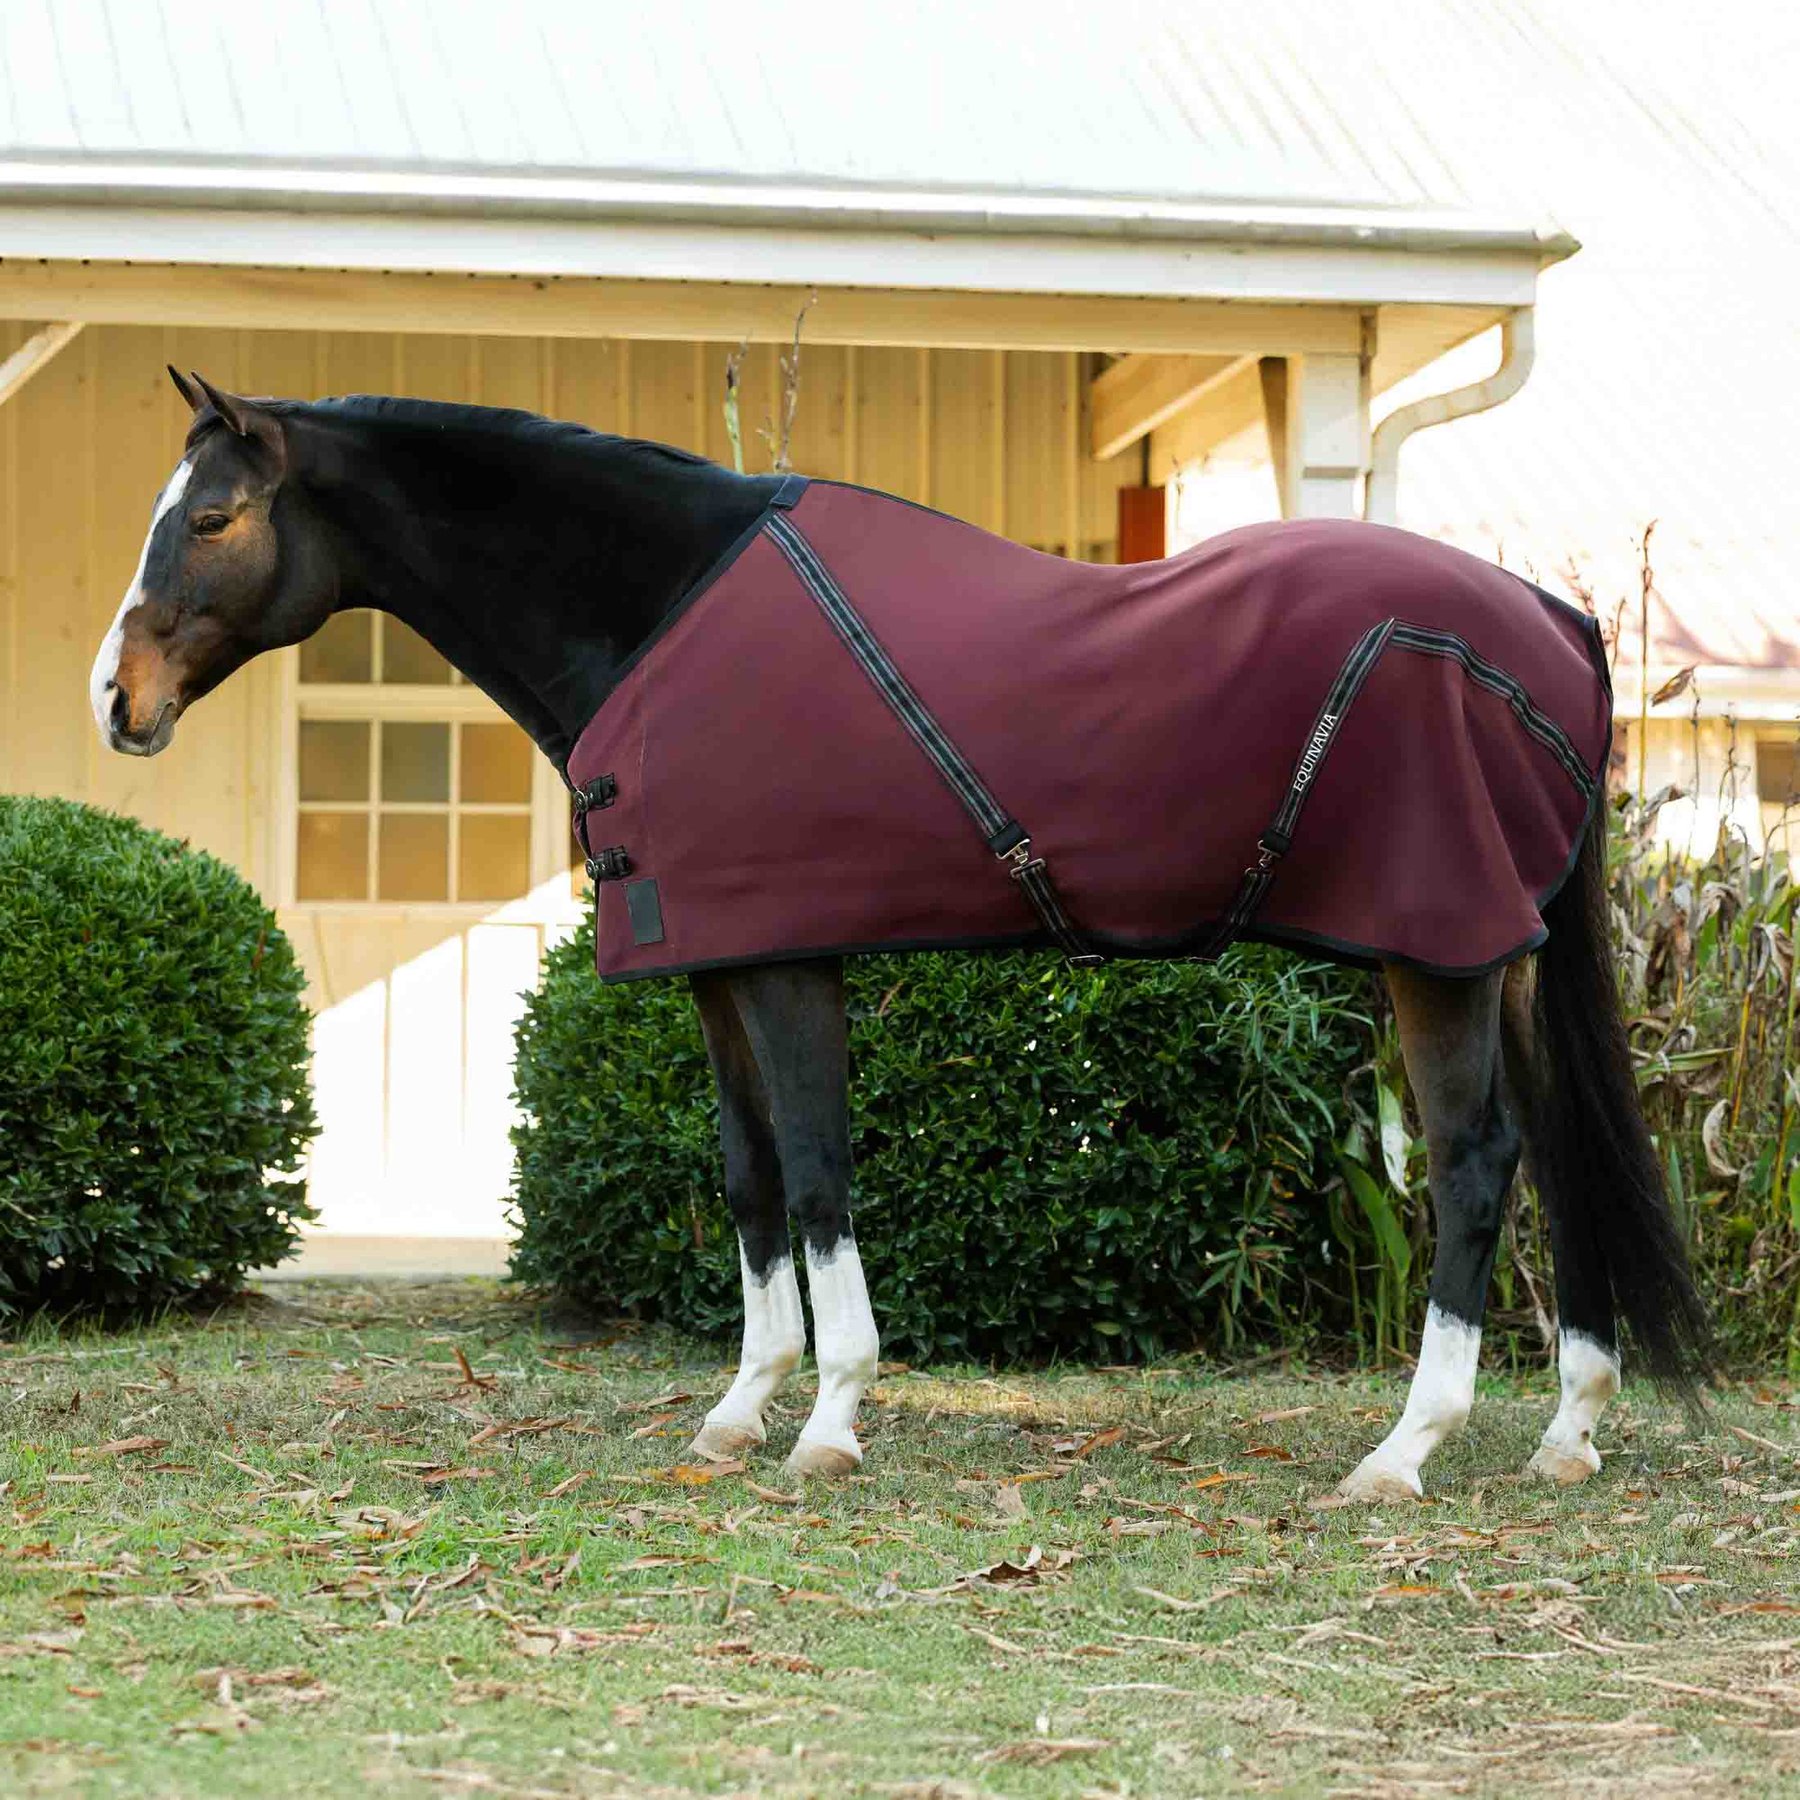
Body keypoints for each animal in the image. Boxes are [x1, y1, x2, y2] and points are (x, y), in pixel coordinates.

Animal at [90, 369, 1711, 1497]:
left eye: (215, 519)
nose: (118, 701)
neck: (660, 615)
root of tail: (1554, 623)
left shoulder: (793, 960)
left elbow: (817, 1173)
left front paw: (831, 1418)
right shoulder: (717, 966)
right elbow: (750, 1178)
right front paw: (740, 1410)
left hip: (1433, 959)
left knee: (1476, 1164)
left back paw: (1404, 1450)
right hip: (1495, 958)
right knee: (1560, 1151)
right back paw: (1568, 1431)